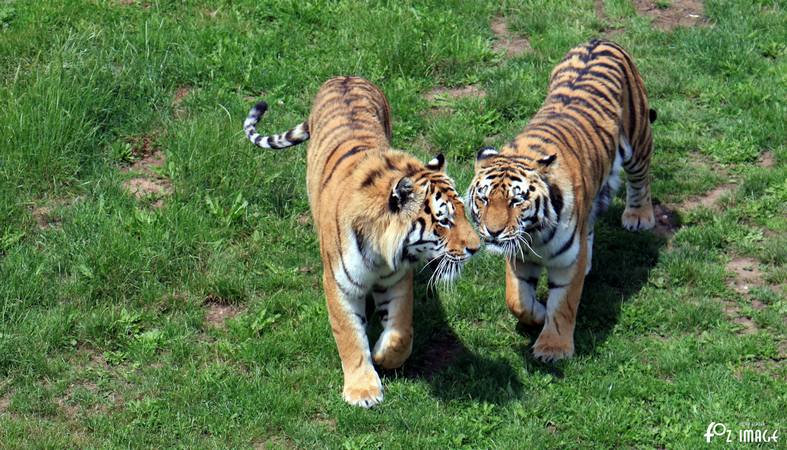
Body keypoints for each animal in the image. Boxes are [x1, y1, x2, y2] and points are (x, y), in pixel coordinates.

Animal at [245, 75, 480, 406]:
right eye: (444, 220)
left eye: (462, 211)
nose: (477, 247)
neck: (381, 254)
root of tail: (343, 76)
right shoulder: (338, 285)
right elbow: (349, 336)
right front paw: (363, 390)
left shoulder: (397, 279)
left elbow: (401, 331)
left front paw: (383, 355)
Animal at [468, 38, 660, 362]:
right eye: (483, 199)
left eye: (516, 201)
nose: (493, 232)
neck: (534, 234)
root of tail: (599, 40)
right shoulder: (519, 257)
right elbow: (516, 300)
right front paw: (537, 313)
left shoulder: (568, 260)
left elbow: (563, 305)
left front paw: (552, 348)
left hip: (637, 137)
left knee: (640, 178)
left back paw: (639, 216)